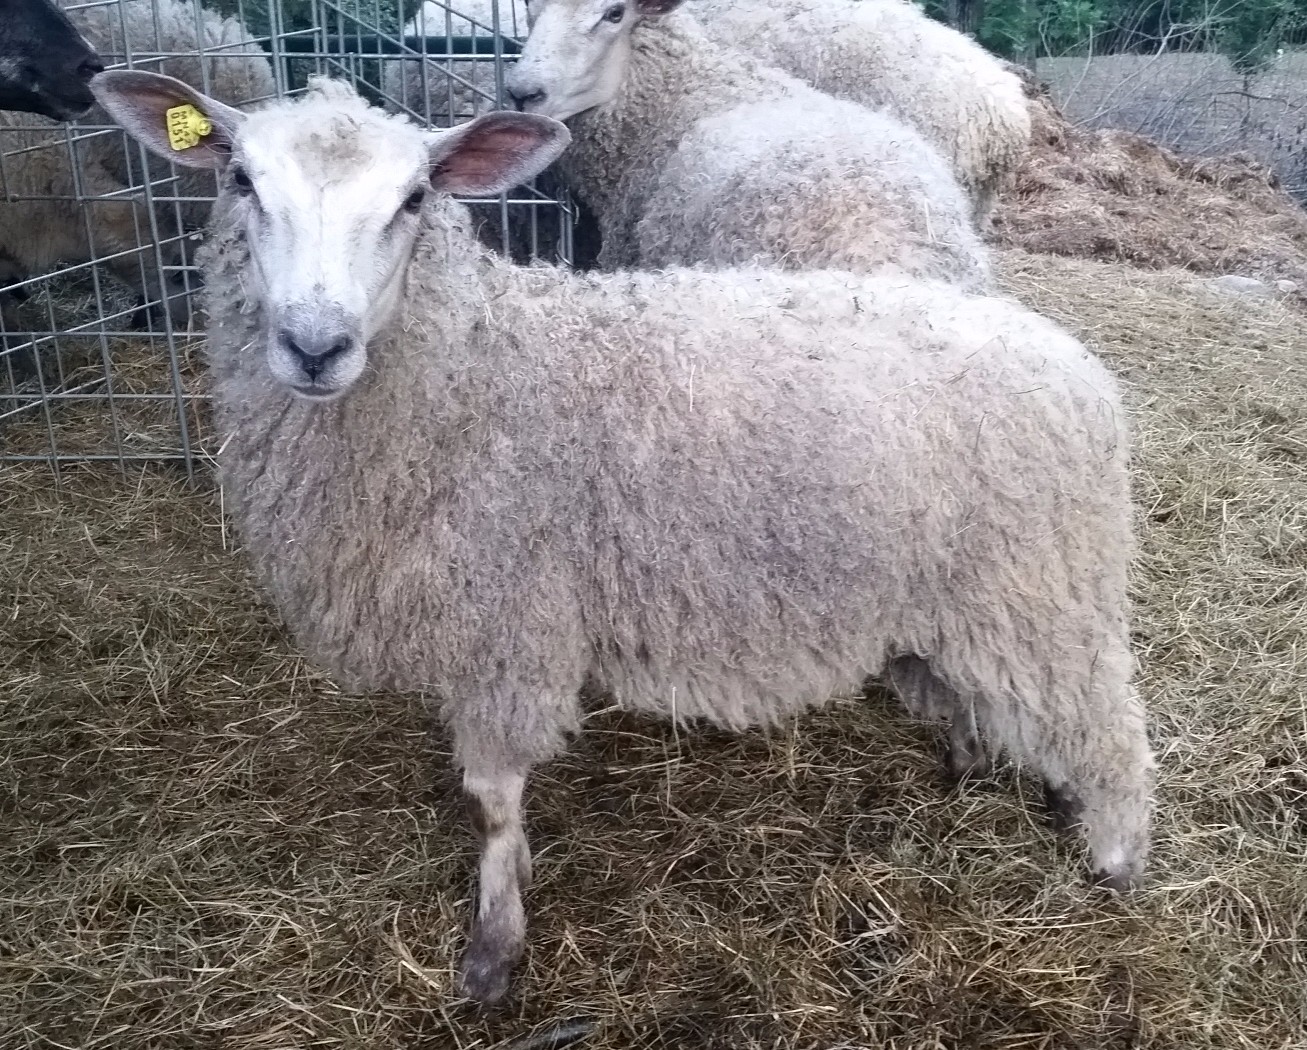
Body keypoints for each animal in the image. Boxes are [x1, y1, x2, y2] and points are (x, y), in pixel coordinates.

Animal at [93, 68, 1154, 1006]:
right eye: (240, 178)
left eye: (414, 197)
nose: (316, 345)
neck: (471, 371)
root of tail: (1076, 365)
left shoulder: (509, 626)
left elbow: (492, 799)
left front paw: (494, 949)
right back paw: (987, 765)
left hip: (1043, 591)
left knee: (1111, 729)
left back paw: (1115, 856)